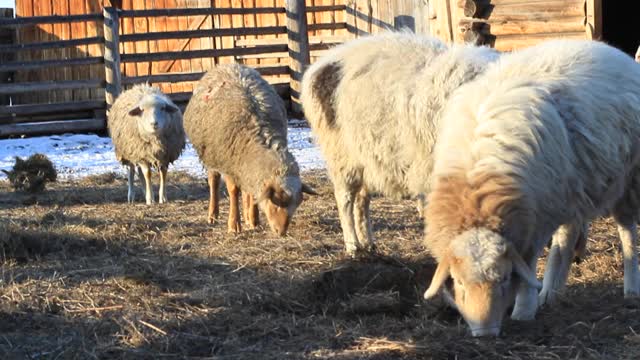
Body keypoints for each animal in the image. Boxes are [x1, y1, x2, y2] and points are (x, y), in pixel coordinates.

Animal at [182, 62, 318, 236]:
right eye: (275, 202)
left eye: (296, 205)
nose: (281, 232)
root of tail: (227, 65)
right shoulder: (229, 164)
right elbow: (233, 191)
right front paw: (234, 225)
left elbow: (252, 192)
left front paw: (253, 220)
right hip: (210, 155)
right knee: (213, 181)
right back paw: (213, 215)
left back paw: (248, 216)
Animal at [300, 31, 500, 256]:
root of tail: (321, 64)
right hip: (341, 154)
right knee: (344, 198)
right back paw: (352, 246)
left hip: (367, 156)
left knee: (362, 200)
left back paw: (368, 243)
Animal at [422, 39, 640, 338]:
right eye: (458, 282)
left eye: (503, 278)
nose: (485, 333)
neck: (477, 178)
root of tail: (605, 47)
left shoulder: (535, 220)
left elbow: (529, 261)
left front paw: (524, 309)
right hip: (570, 189)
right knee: (567, 237)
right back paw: (551, 291)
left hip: (627, 181)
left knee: (626, 229)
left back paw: (631, 287)